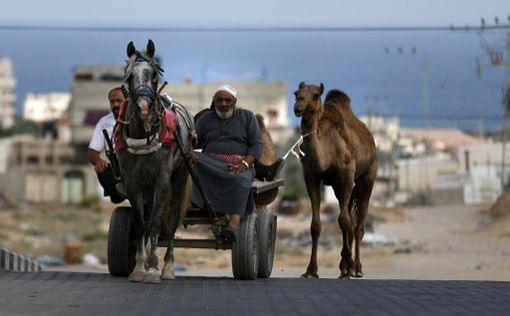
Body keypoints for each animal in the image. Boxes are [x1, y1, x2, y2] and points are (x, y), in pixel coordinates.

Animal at [116, 39, 194, 284]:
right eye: (129, 76)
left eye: (153, 75)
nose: (143, 107)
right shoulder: (133, 182)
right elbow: (141, 224)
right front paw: (140, 268)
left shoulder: (161, 180)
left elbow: (156, 224)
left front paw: (152, 269)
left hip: (179, 175)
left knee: (172, 220)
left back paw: (167, 266)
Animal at [292, 82, 376, 278]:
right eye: (296, 93)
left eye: (316, 95)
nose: (298, 107)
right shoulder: (311, 176)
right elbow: (316, 225)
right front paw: (311, 270)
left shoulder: (347, 175)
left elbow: (344, 221)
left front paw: (349, 265)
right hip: (338, 188)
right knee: (350, 220)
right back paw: (346, 266)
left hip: (368, 175)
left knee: (358, 224)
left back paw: (356, 268)